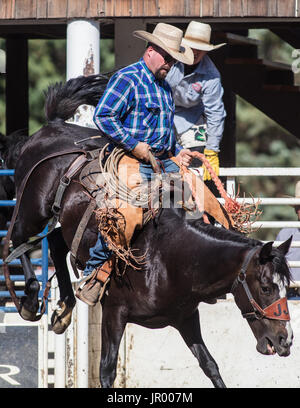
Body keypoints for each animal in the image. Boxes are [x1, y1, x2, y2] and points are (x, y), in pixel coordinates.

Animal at [1, 75, 292, 388]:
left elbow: (210, 365)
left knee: (54, 241)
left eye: (286, 287)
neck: (169, 258)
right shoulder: (114, 313)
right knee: (16, 240)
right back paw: (30, 299)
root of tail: (52, 126)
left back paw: (64, 309)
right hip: (32, 209)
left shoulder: (186, 317)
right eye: (266, 288)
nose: (286, 340)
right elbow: (107, 371)